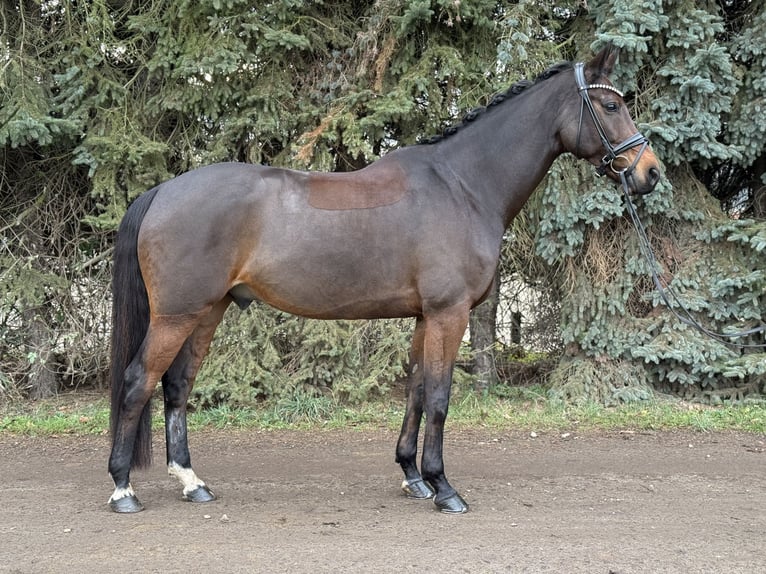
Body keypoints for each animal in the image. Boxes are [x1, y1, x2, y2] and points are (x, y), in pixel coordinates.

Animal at [107, 45, 660, 514]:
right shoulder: (449, 313)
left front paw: (413, 477)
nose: (650, 172)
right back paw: (123, 489)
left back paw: (192, 482)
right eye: (611, 105)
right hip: (176, 314)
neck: (462, 186)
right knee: (137, 383)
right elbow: (439, 395)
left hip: (208, 310)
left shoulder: (425, 316)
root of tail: (163, 191)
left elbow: (416, 389)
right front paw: (444, 487)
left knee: (177, 385)